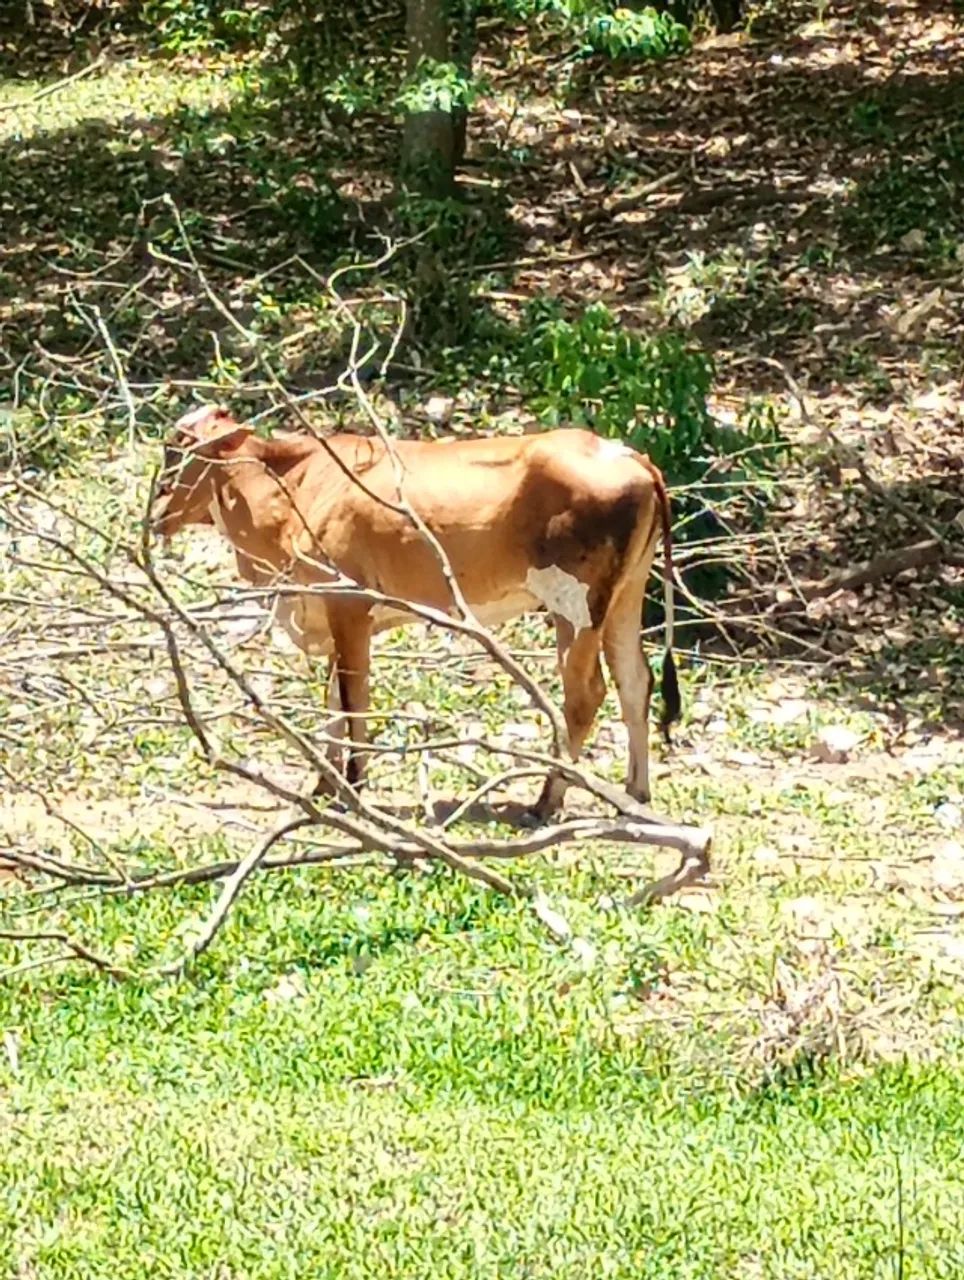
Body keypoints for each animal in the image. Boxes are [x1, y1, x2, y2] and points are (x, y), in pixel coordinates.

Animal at [149, 405, 680, 820]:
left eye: (180, 451)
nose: (153, 514)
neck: (295, 491)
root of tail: (628, 455)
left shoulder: (350, 606)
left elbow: (352, 700)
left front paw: (354, 784)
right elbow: (332, 703)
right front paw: (324, 784)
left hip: (575, 605)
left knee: (584, 696)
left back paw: (546, 801)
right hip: (625, 598)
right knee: (636, 682)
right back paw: (635, 793)